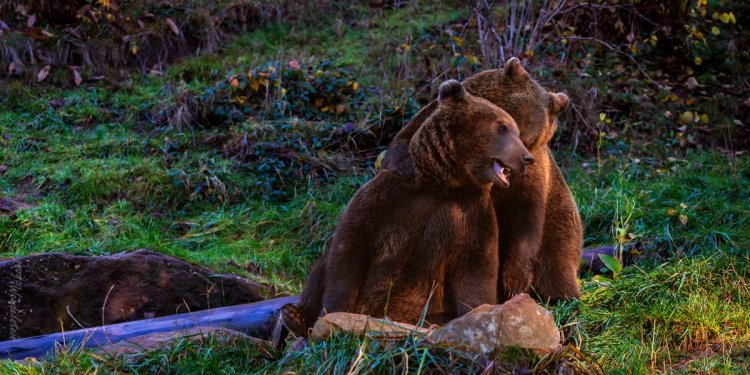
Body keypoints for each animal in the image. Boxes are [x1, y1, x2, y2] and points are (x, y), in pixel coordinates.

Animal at [284, 80, 536, 338]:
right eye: (503, 127)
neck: (443, 185)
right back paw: (294, 315)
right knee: (320, 269)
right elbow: (350, 248)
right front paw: (334, 314)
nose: (527, 158)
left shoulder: (472, 213)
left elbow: (475, 270)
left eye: (516, 130)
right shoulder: (389, 196)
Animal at [382, 59, 588, 306]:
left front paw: (513, 283)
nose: (520, 157)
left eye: (529, 133)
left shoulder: (532, 178)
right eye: (506, 126)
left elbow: (524, 219)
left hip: (560, 234)